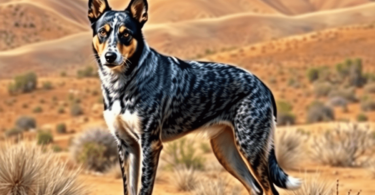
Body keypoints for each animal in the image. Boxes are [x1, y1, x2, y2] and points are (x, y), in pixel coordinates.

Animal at [88, 0, 302, 194]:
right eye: (103, 32)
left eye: (126, 34)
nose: (110, 56)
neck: (121, 83)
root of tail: (263, 85)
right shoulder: (127, 146)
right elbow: (129, 189)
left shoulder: (150, 144)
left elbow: (144, 189)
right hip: (225, 151)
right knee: (255, 189)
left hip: (251, 148)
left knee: (269, 190)